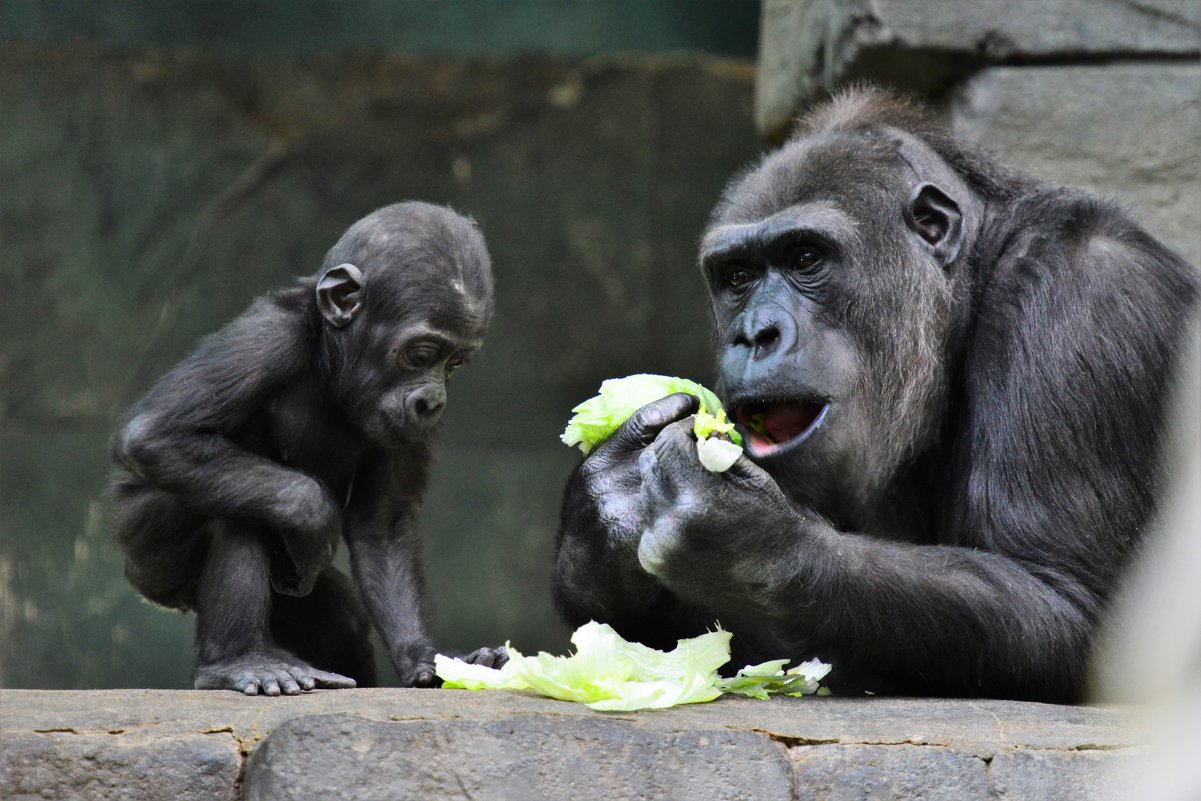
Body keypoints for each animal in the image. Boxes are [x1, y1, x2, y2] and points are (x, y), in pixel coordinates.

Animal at [110, 201, 504, 696]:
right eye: (422, 354)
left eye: (454, 364)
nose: (432, 400)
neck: (332, 361)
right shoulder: (266, 340)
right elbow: (157, 433)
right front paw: (312, 512)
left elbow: (383, 523)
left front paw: (427, 659)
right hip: (150, 551)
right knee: (236, 515)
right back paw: (238, 661)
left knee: (339, 620)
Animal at [552, 86, 1201, 701]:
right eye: (737, 276)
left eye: (805, 257)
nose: (754, 333)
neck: (969, 285)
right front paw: (600, 528)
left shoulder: (1079, 301)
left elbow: (1067, 601)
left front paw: (751, 542)